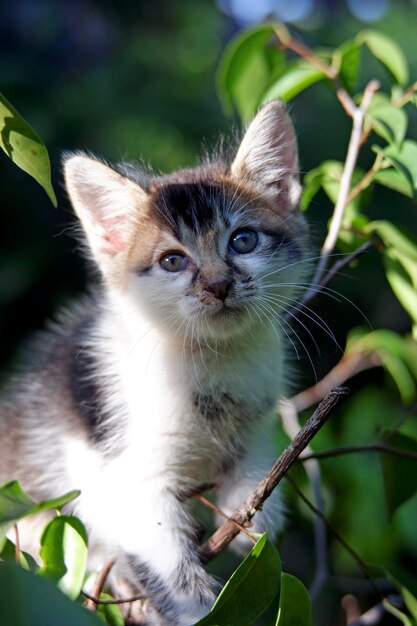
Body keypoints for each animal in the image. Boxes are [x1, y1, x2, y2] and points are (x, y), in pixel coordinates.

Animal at [0, 102, 306, 624]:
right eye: (172, 261)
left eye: (243, 241)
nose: (219, 286)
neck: (211, 359)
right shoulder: (122, 474)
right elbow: (162, 551)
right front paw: (198, 608)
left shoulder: (257, 410)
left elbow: (255, 456)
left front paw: (254, 507)